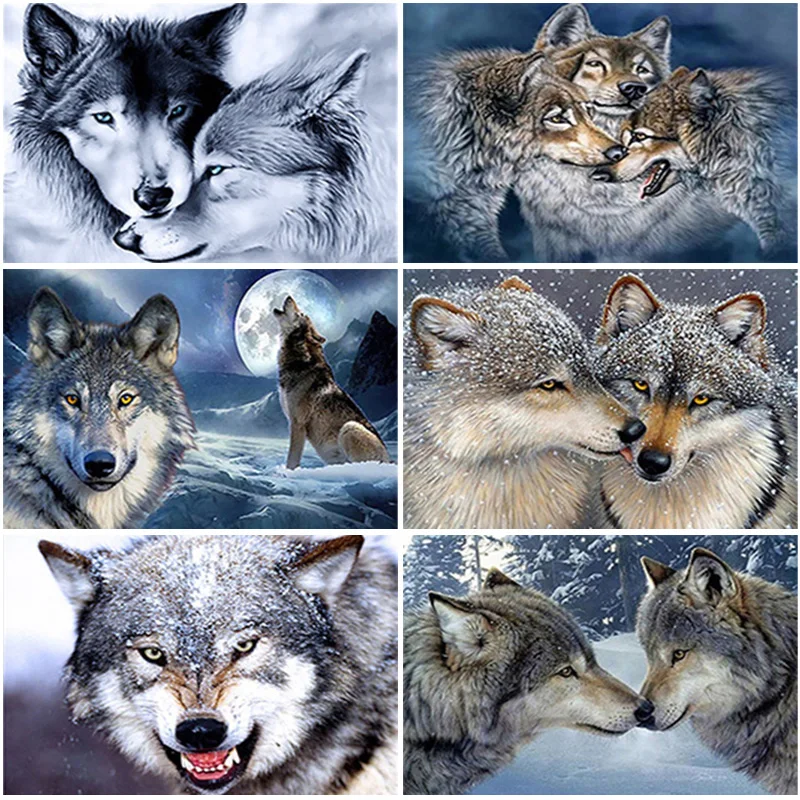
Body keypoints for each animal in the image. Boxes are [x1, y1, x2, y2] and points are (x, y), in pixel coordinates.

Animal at [274, 296, 390, 470]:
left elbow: (292, 459)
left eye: (301, 313)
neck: (299, 361)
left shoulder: (297, 423)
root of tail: (390, 460)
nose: (289, 297)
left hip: (349, 427)